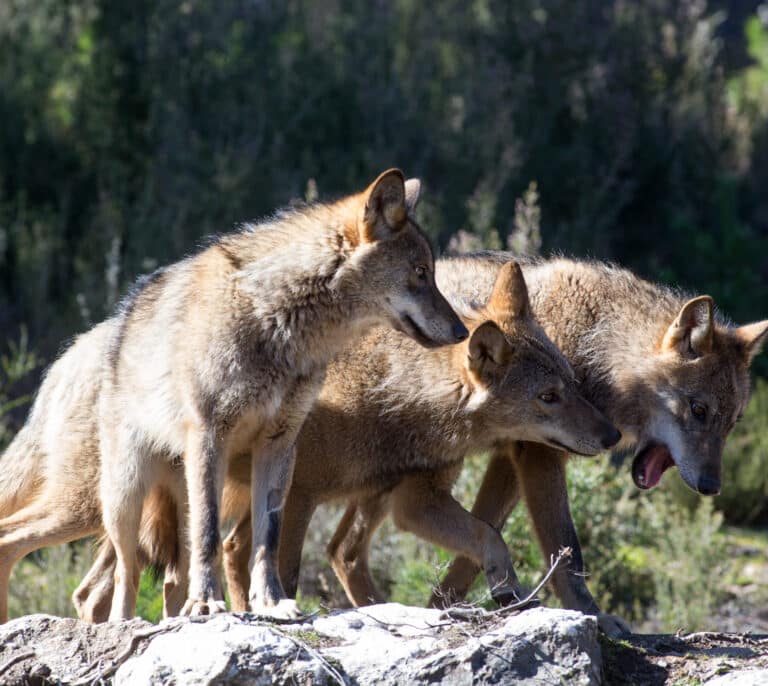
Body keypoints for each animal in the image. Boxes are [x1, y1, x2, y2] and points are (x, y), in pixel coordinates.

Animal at [1, 169, 468, 628]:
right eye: (421, 272)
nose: (463, 331)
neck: (277, 321)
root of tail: (70, 356)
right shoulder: (212, 435)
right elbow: (210, 533)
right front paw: (209, 604)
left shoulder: (280, 446)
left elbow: (267, 538)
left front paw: (271, 603)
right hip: (115, 500)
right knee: (116, 575)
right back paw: (123, 624)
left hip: (163, 502)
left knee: (162, 578)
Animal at [326, 254, 768, 636]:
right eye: (698, 410)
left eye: (732, 422)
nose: (711, 486)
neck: (595, 345)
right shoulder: (540, 456)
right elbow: (565, 548)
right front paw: (593, 617)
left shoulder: (510, 459)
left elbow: (479, 540)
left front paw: (443, 607)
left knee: (342, 549)